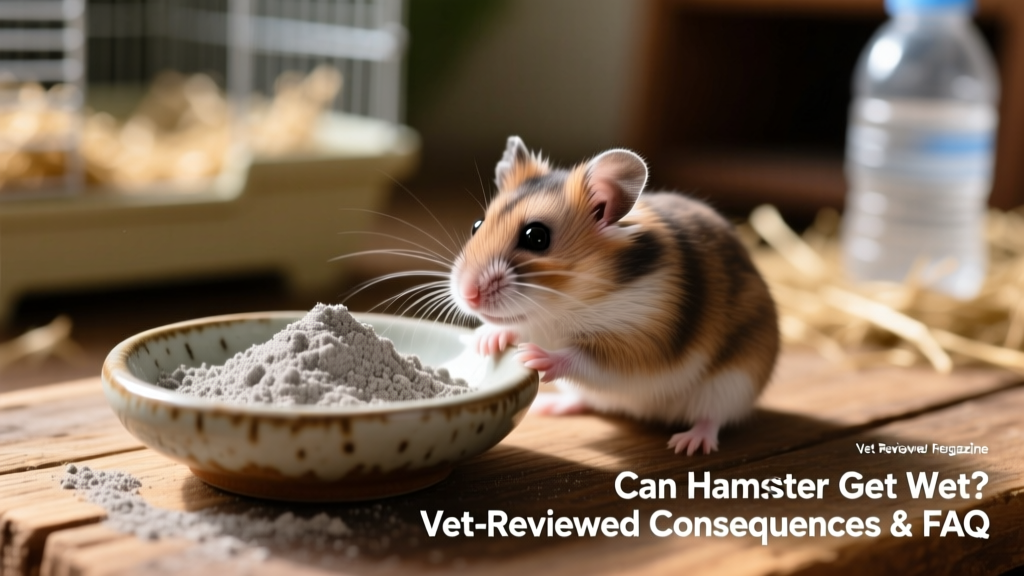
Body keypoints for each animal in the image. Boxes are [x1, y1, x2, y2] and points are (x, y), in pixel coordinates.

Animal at [450, 136, 780, 455]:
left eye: (537, 237)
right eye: (477, 225)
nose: (468, 295)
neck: (560, 307)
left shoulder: (642, 342)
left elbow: (586, 360)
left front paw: (533, 356)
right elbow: (511, 326)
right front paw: (484, 341)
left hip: (733, 383)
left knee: (713, 417)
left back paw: (689, 444)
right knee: (586, 400)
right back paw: (550, 406)